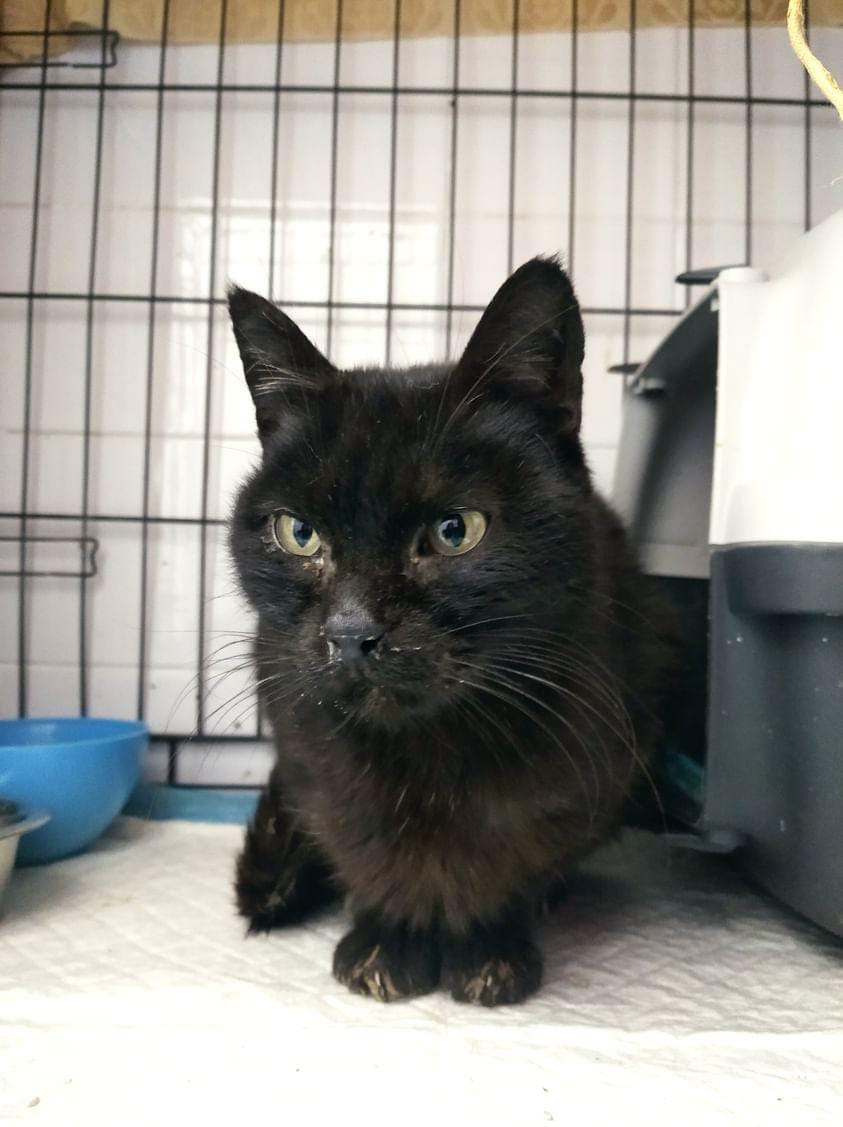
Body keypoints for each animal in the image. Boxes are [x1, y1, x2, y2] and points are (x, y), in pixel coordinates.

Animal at [227, 256, 674, 1006]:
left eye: (455, 530)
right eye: (300, 532)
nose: (351, 631)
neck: (429, 746)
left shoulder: (579, 770)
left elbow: (507, 859)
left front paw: (486, 947)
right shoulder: (314, 756)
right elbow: (364, 843)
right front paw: (387, 938)